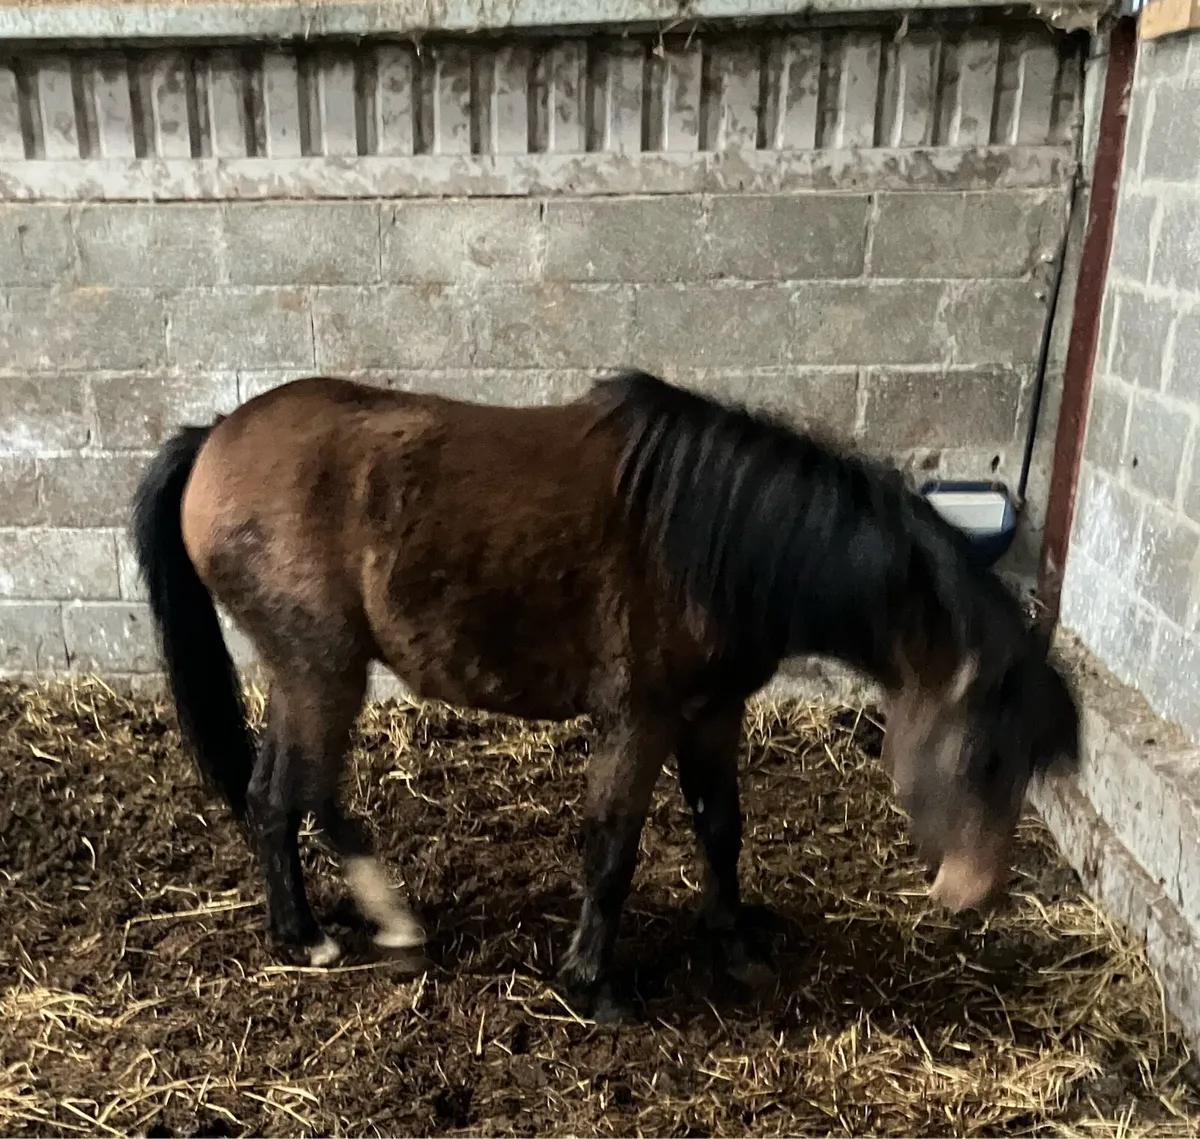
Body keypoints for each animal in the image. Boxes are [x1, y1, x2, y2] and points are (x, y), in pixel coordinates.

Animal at [130, 369, 1080, 1018]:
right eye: (983, 755)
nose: (976, 893)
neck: (712, 540)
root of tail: (213, 437)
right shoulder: (639, 718)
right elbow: (613, 847)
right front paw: (592, 984)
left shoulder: (711, 713)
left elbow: (721, 828)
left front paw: (734, 944)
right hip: (319, 667)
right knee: (294, 792)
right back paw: (341, 932)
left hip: (310, 672)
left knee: (285, 793)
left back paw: (343, 925)